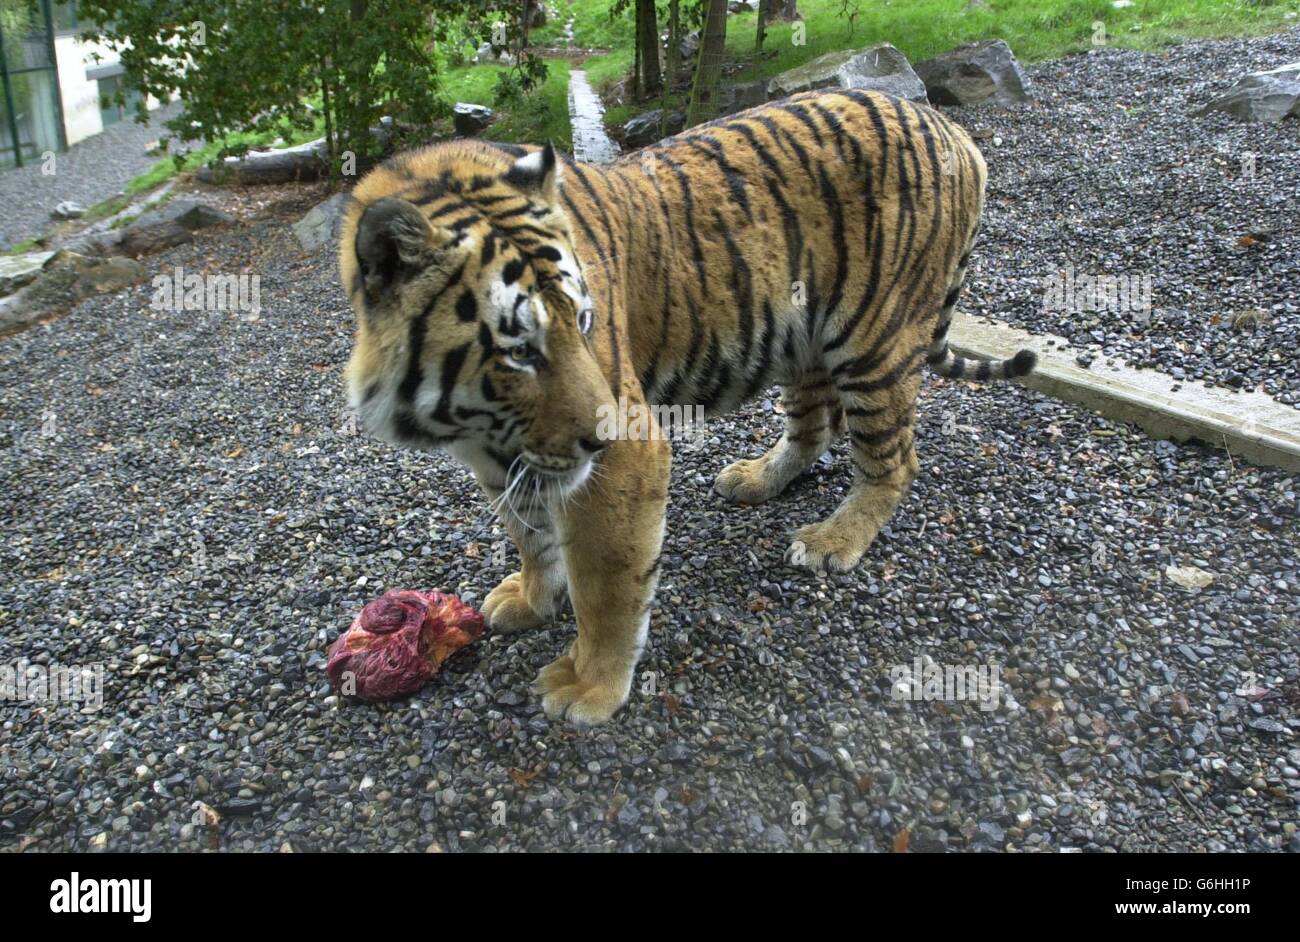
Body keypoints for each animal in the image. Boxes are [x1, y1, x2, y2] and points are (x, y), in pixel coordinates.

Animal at [335, 86, 1034, 727]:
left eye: (584, 322)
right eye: (520, 350)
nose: (598, 438)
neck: (474, 417)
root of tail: (950, 128)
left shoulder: (624, 458)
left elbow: (607, 581)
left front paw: (590, 684)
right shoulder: (503, 456)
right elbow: (529, 535)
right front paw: (532, 599)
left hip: (875, 341)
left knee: (893, 460)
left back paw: (834, 539)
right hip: (803, 337)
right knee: (816, 423)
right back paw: (757, 478)